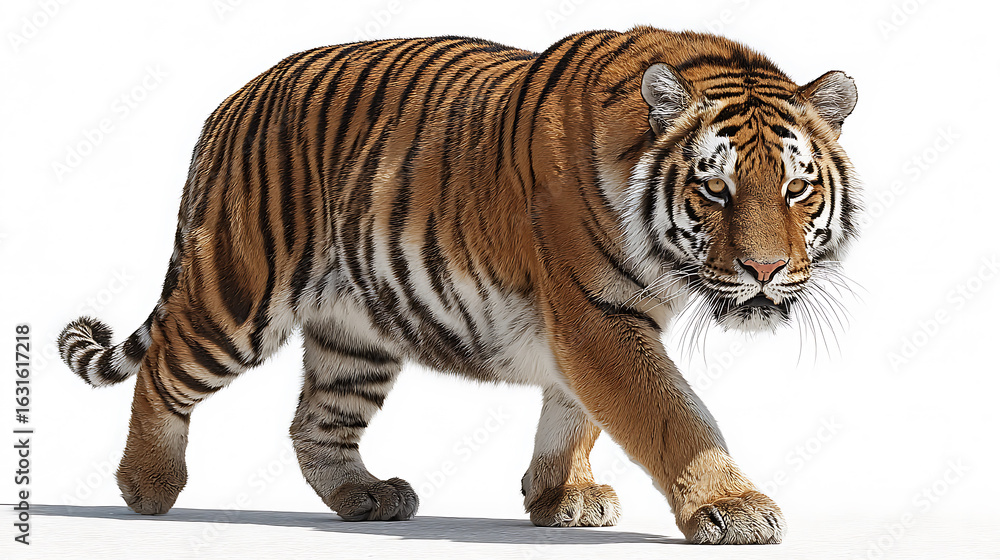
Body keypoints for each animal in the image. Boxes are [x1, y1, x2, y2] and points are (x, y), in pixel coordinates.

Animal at [57, 25, 859, 544]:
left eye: (796, 189)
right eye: (716, 189)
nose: (765, 271)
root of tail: (229, 104)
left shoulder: (598, 325)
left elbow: (577, 413)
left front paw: (559, 495)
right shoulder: (596, 316)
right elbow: (672, 414)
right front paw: (735, 507)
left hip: (356, 335)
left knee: (315, 423)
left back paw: (364, 495)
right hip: (235, 295)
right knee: (163, 368)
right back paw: (148, 485)